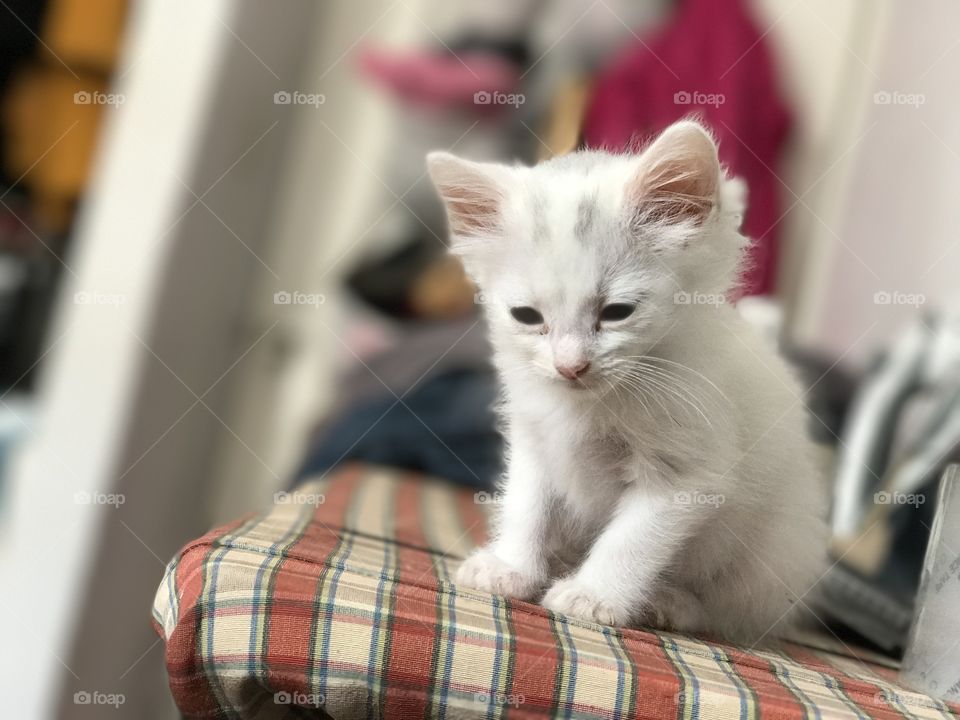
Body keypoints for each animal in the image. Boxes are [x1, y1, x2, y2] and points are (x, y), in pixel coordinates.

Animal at [428, 121, 824, 644]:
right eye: (527, 317)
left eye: (617, 312)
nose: (570, 366)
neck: (589, 406)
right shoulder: (534, 440)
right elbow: (526, 504)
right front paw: (512, 567)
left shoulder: (686, 471)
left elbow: (632, 539)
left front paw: (593, 597)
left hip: (771, 559)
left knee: (727, 611)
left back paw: (669, 603)